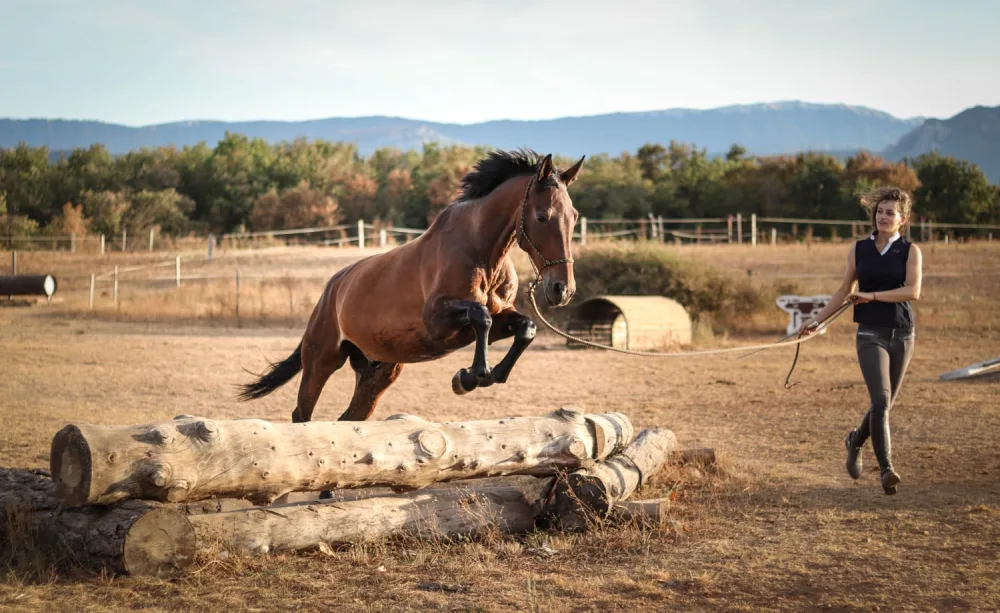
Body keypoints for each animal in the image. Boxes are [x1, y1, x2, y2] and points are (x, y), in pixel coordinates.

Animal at [238, 150, 584, 424]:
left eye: (574, 216)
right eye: (542, 217)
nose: (562, 290)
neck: (482, 252)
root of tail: (330, 291)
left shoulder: (496, 318)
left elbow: (525, 327)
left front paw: (487, 375)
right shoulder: (437, 321)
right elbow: (480, 316)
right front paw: (471, 376)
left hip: (378, 371)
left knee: (349, 418)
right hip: (321, 360)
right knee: (302, 413)